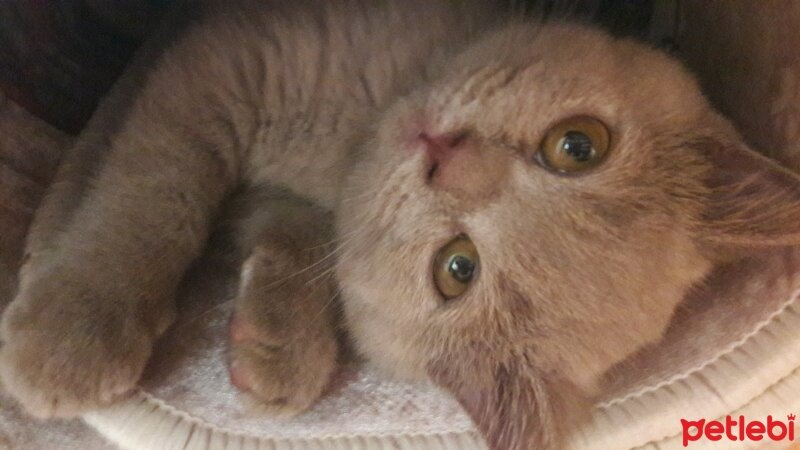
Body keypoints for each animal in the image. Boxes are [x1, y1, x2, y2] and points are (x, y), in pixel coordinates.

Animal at [1, 0, 800, 448]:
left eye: (456, 268)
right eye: (577, 146)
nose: (445, 158)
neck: (347, 138)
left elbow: (292, 234)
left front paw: (280, 348)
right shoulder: (230, 59)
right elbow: (154, 193)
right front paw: (74, 331)